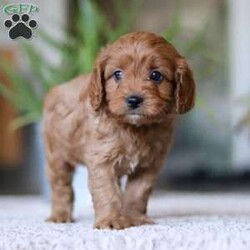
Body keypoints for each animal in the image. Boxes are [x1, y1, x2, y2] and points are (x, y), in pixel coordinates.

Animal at [43, 31, 195, 229]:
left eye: (156, 75)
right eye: (117, 74)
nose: (133, 100)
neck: (133, 128)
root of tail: (55, 90)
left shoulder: (148, 166)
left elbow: (137, 193)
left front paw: (134, 218)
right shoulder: (101, 161)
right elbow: (107, 192)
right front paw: (111, 220)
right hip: (57, 155)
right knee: (61, 186)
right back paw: (60, 215)